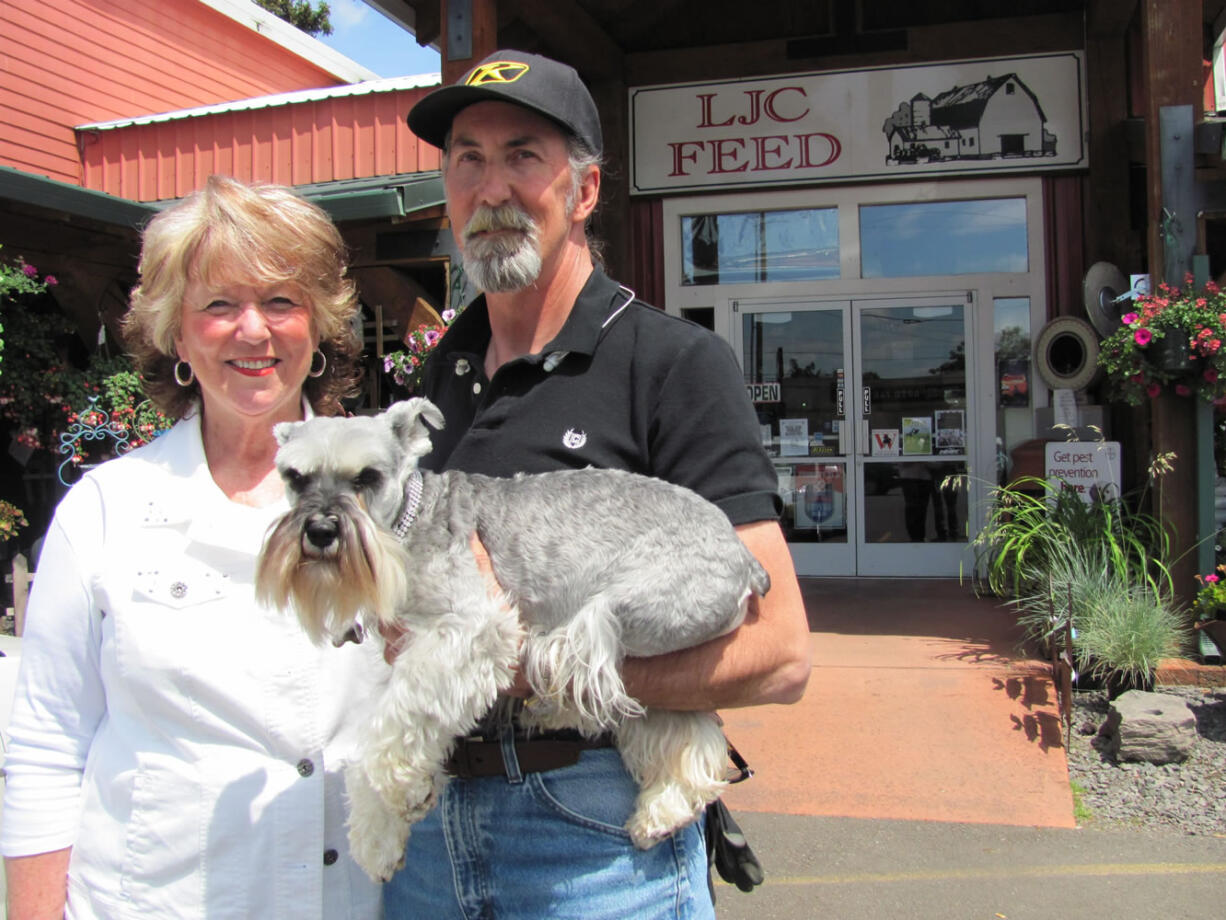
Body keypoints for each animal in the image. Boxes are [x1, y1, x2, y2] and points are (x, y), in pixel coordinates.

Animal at [255, 399, 765, 883]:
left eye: (367, 476)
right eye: (295, 477)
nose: (320, 531)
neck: (409, 524)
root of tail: (746, 558)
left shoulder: (467, 632)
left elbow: (391, 726)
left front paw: (401, 787)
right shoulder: (407, 655)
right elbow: (385, 725)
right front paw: (378, 841)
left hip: (619, 609)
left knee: (584, 667)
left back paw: (554, 710)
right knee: (688, 728)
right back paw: (665, 808)